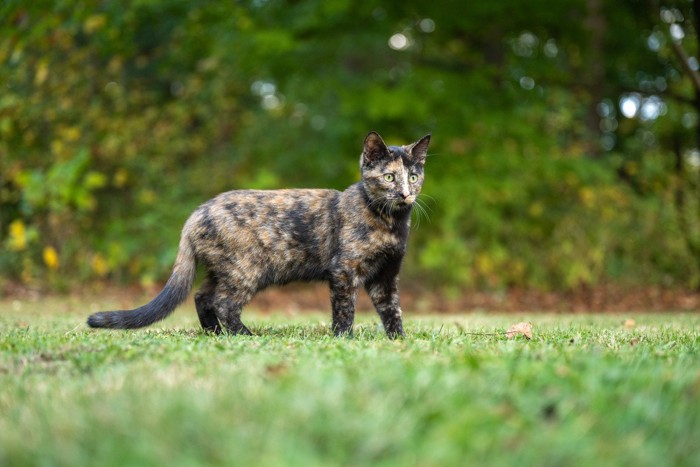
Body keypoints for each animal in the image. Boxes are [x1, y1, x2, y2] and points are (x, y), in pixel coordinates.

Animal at [86, 130, 426, 338]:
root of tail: (196, 213)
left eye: (413, 177)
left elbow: (391, 309)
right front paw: (344, 338)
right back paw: (243, 335)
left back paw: (215, 333)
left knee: (202, 297)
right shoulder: (343, 270)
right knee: (223, 303)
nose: (405, 194)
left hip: (223, 270)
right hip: (246, 270)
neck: (391, 224)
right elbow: (345, 310)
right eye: (389, 177)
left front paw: (398, 340)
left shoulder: (386, 276)